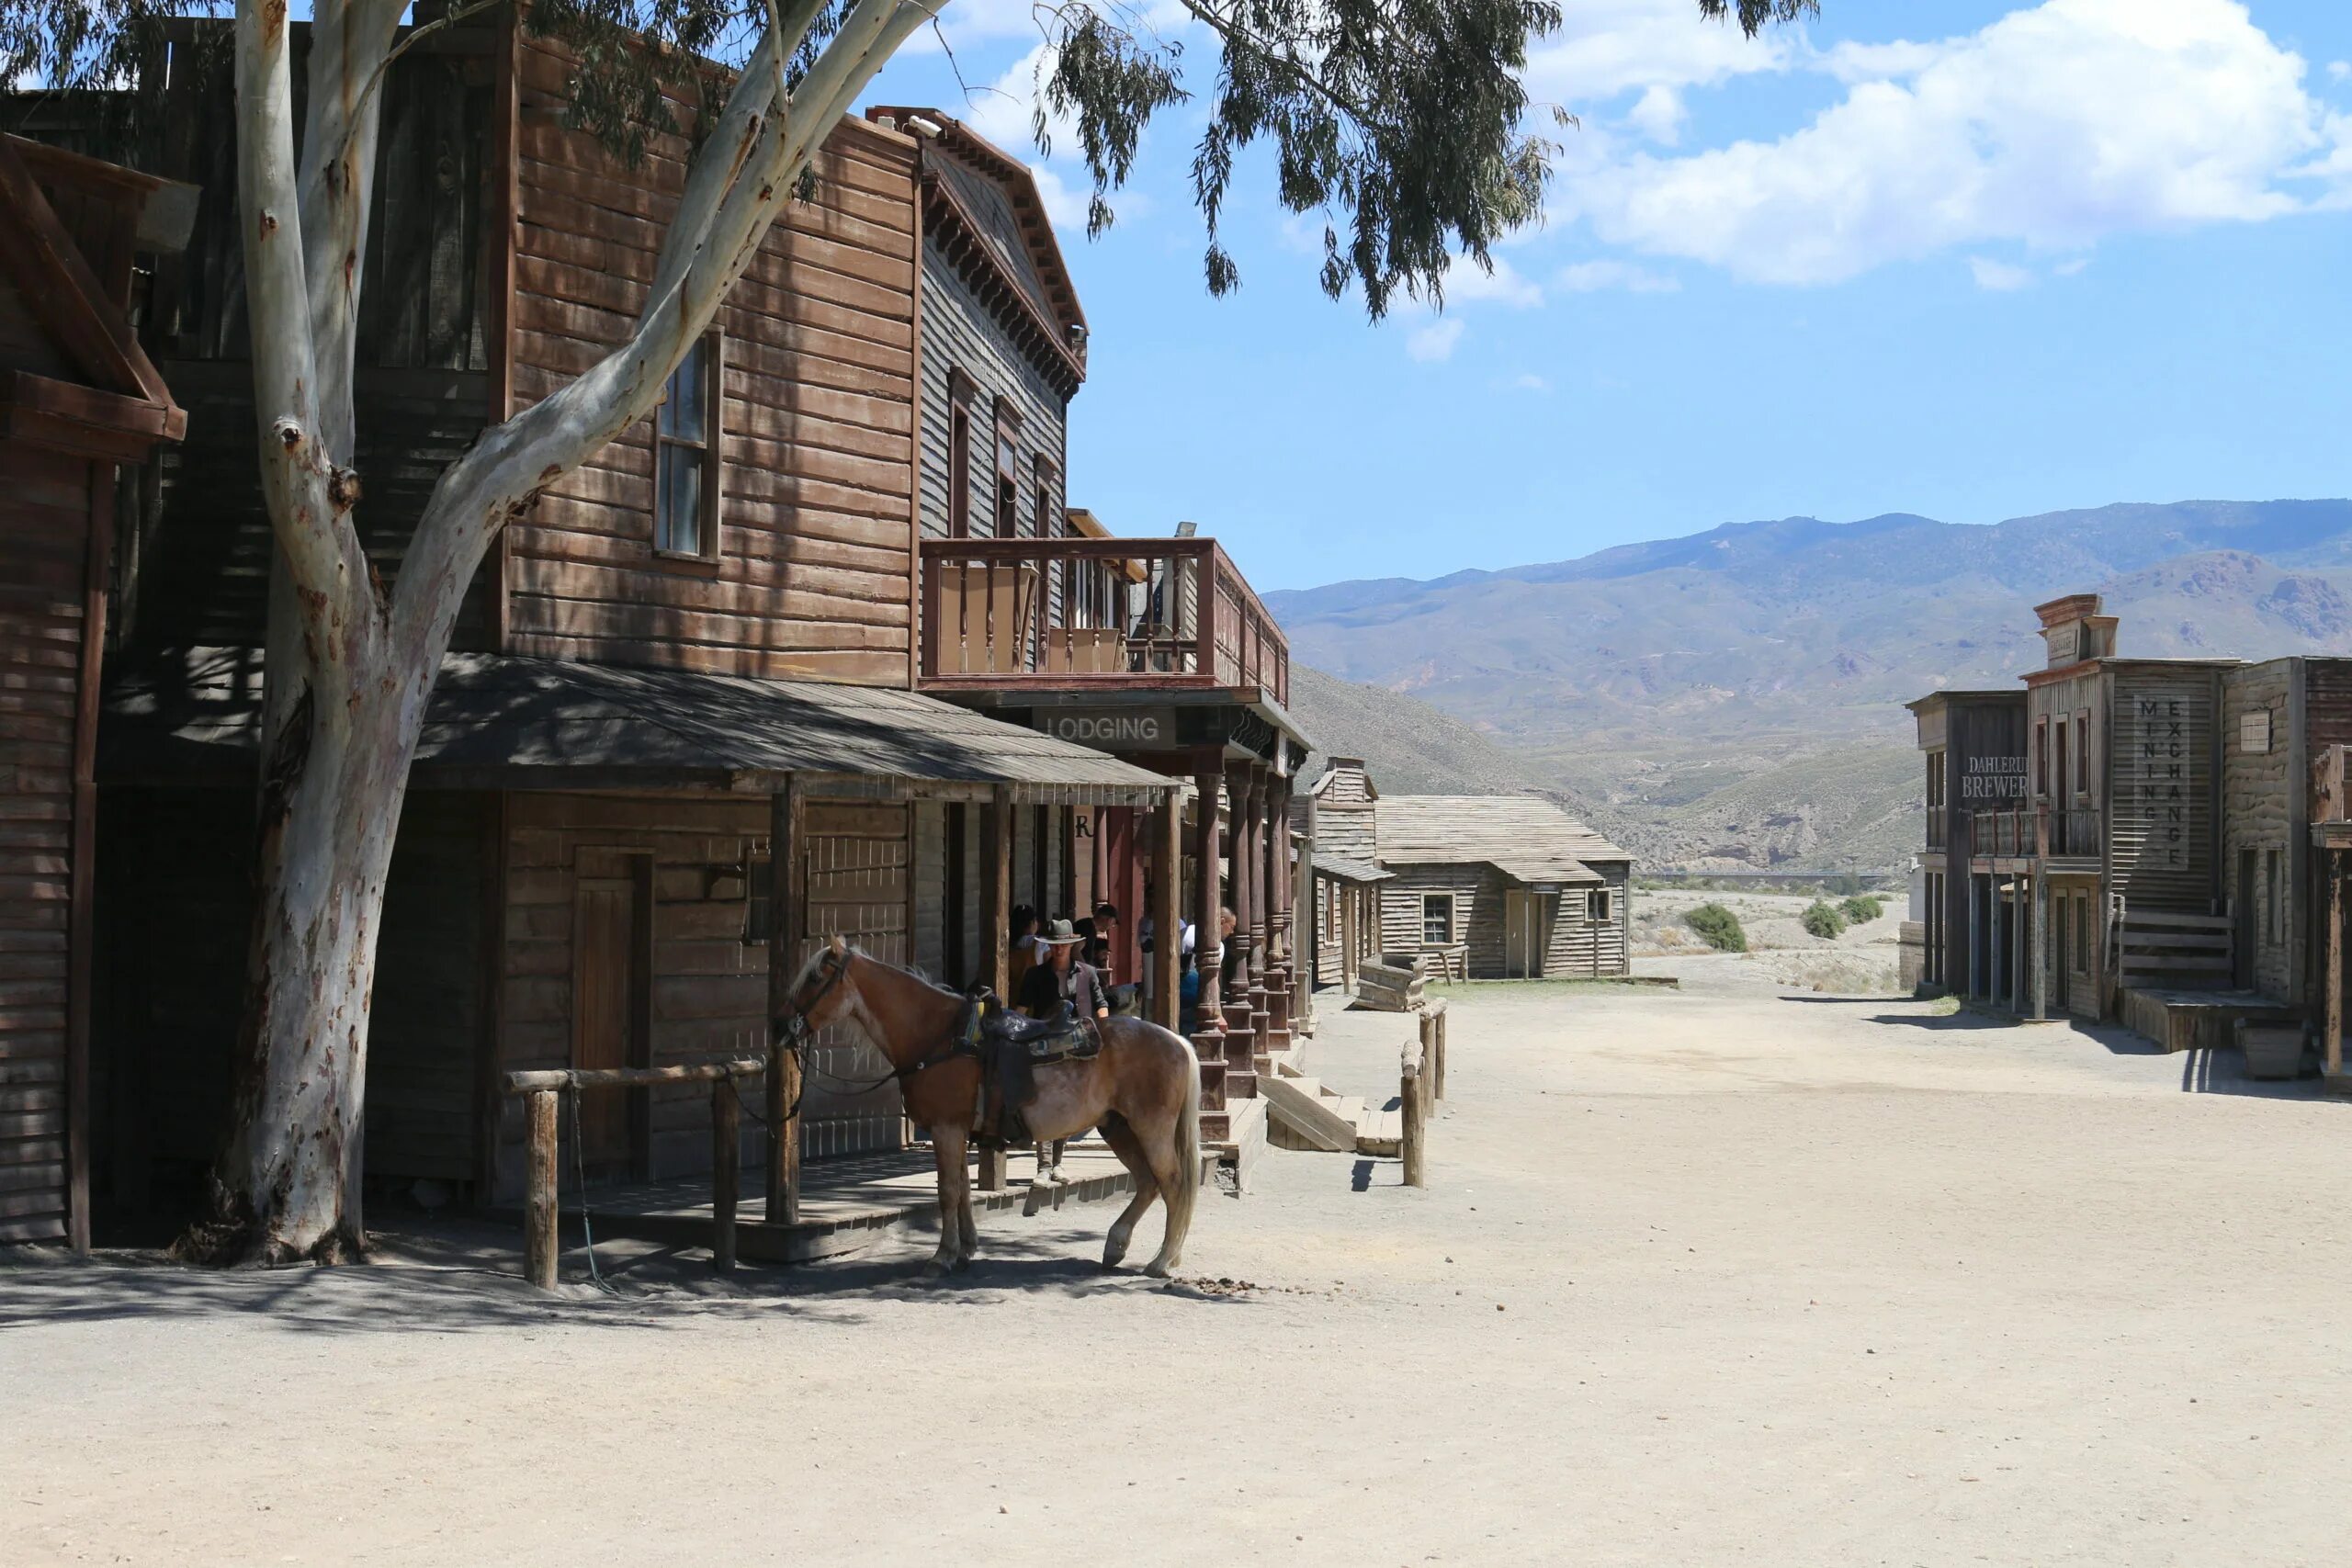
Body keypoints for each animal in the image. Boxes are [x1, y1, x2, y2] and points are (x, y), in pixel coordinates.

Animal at [780, 931, 1204, 1279]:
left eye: (816, 978)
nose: (782, 1027)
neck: (939, 1036)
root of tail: (1177, 1041)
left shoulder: (946, 1128)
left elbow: (948, 1191)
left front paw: (942, 1257)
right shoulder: (956, 1132)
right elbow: (964, 1191)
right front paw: (966, 1249)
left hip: (1150, 1128)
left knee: (1172, 1182)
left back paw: (1162, 1261)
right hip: (1117, 1126)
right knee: (1148, 1183)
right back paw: (1117, 1247)